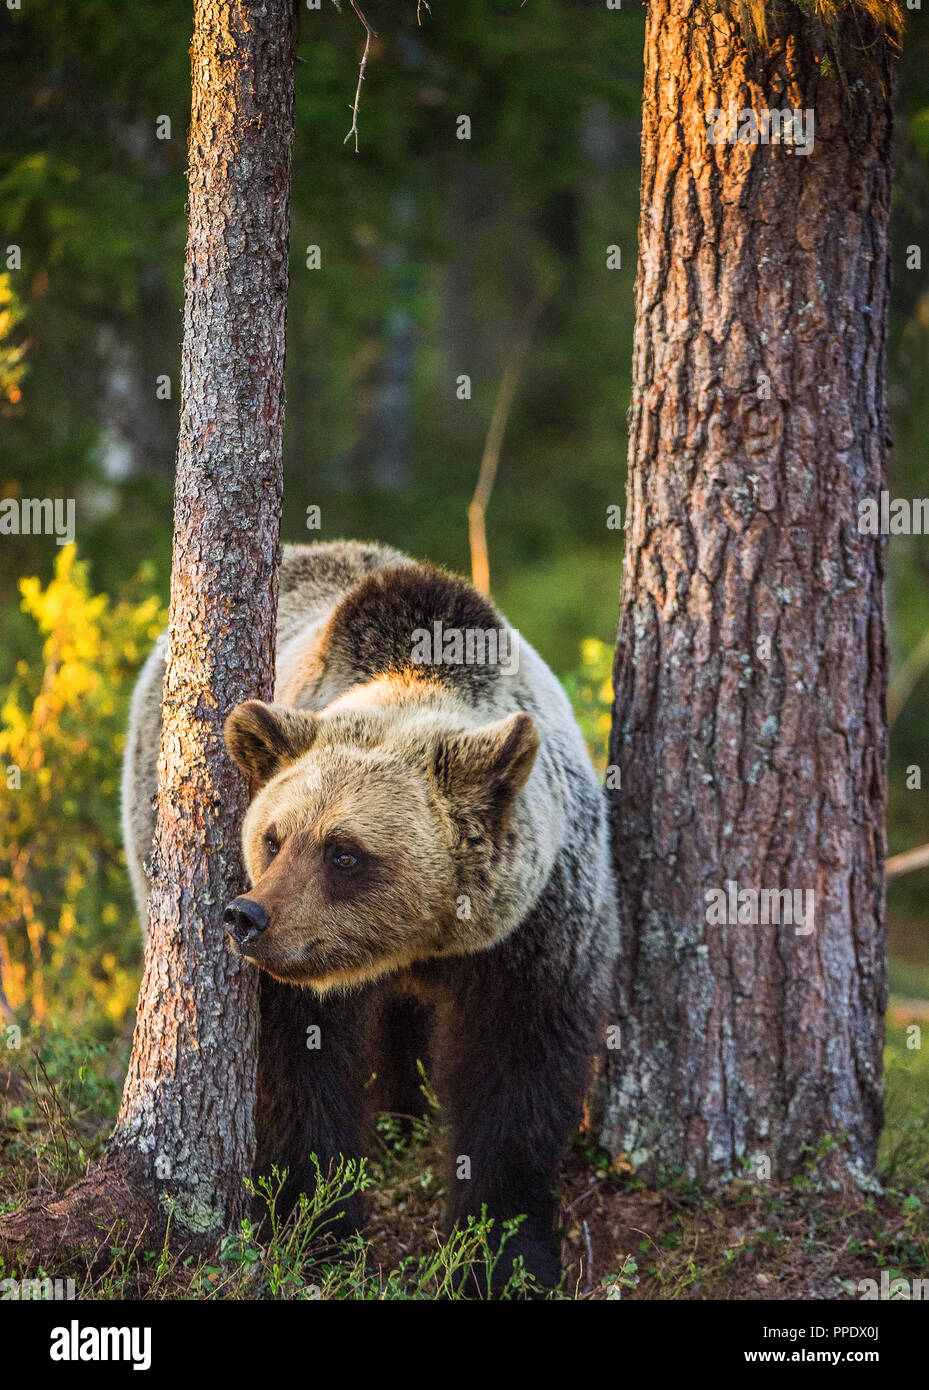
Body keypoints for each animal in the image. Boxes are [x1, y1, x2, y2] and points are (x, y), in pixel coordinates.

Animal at [122, 540, 618, 1292]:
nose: (247, 917)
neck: (426, 941)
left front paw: (504, 1256)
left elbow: (518, 1079)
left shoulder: (536, 929)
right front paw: (322, 1229)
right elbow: (298, 1079)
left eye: (343, 852)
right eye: (273, 837)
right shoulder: (299, 986)